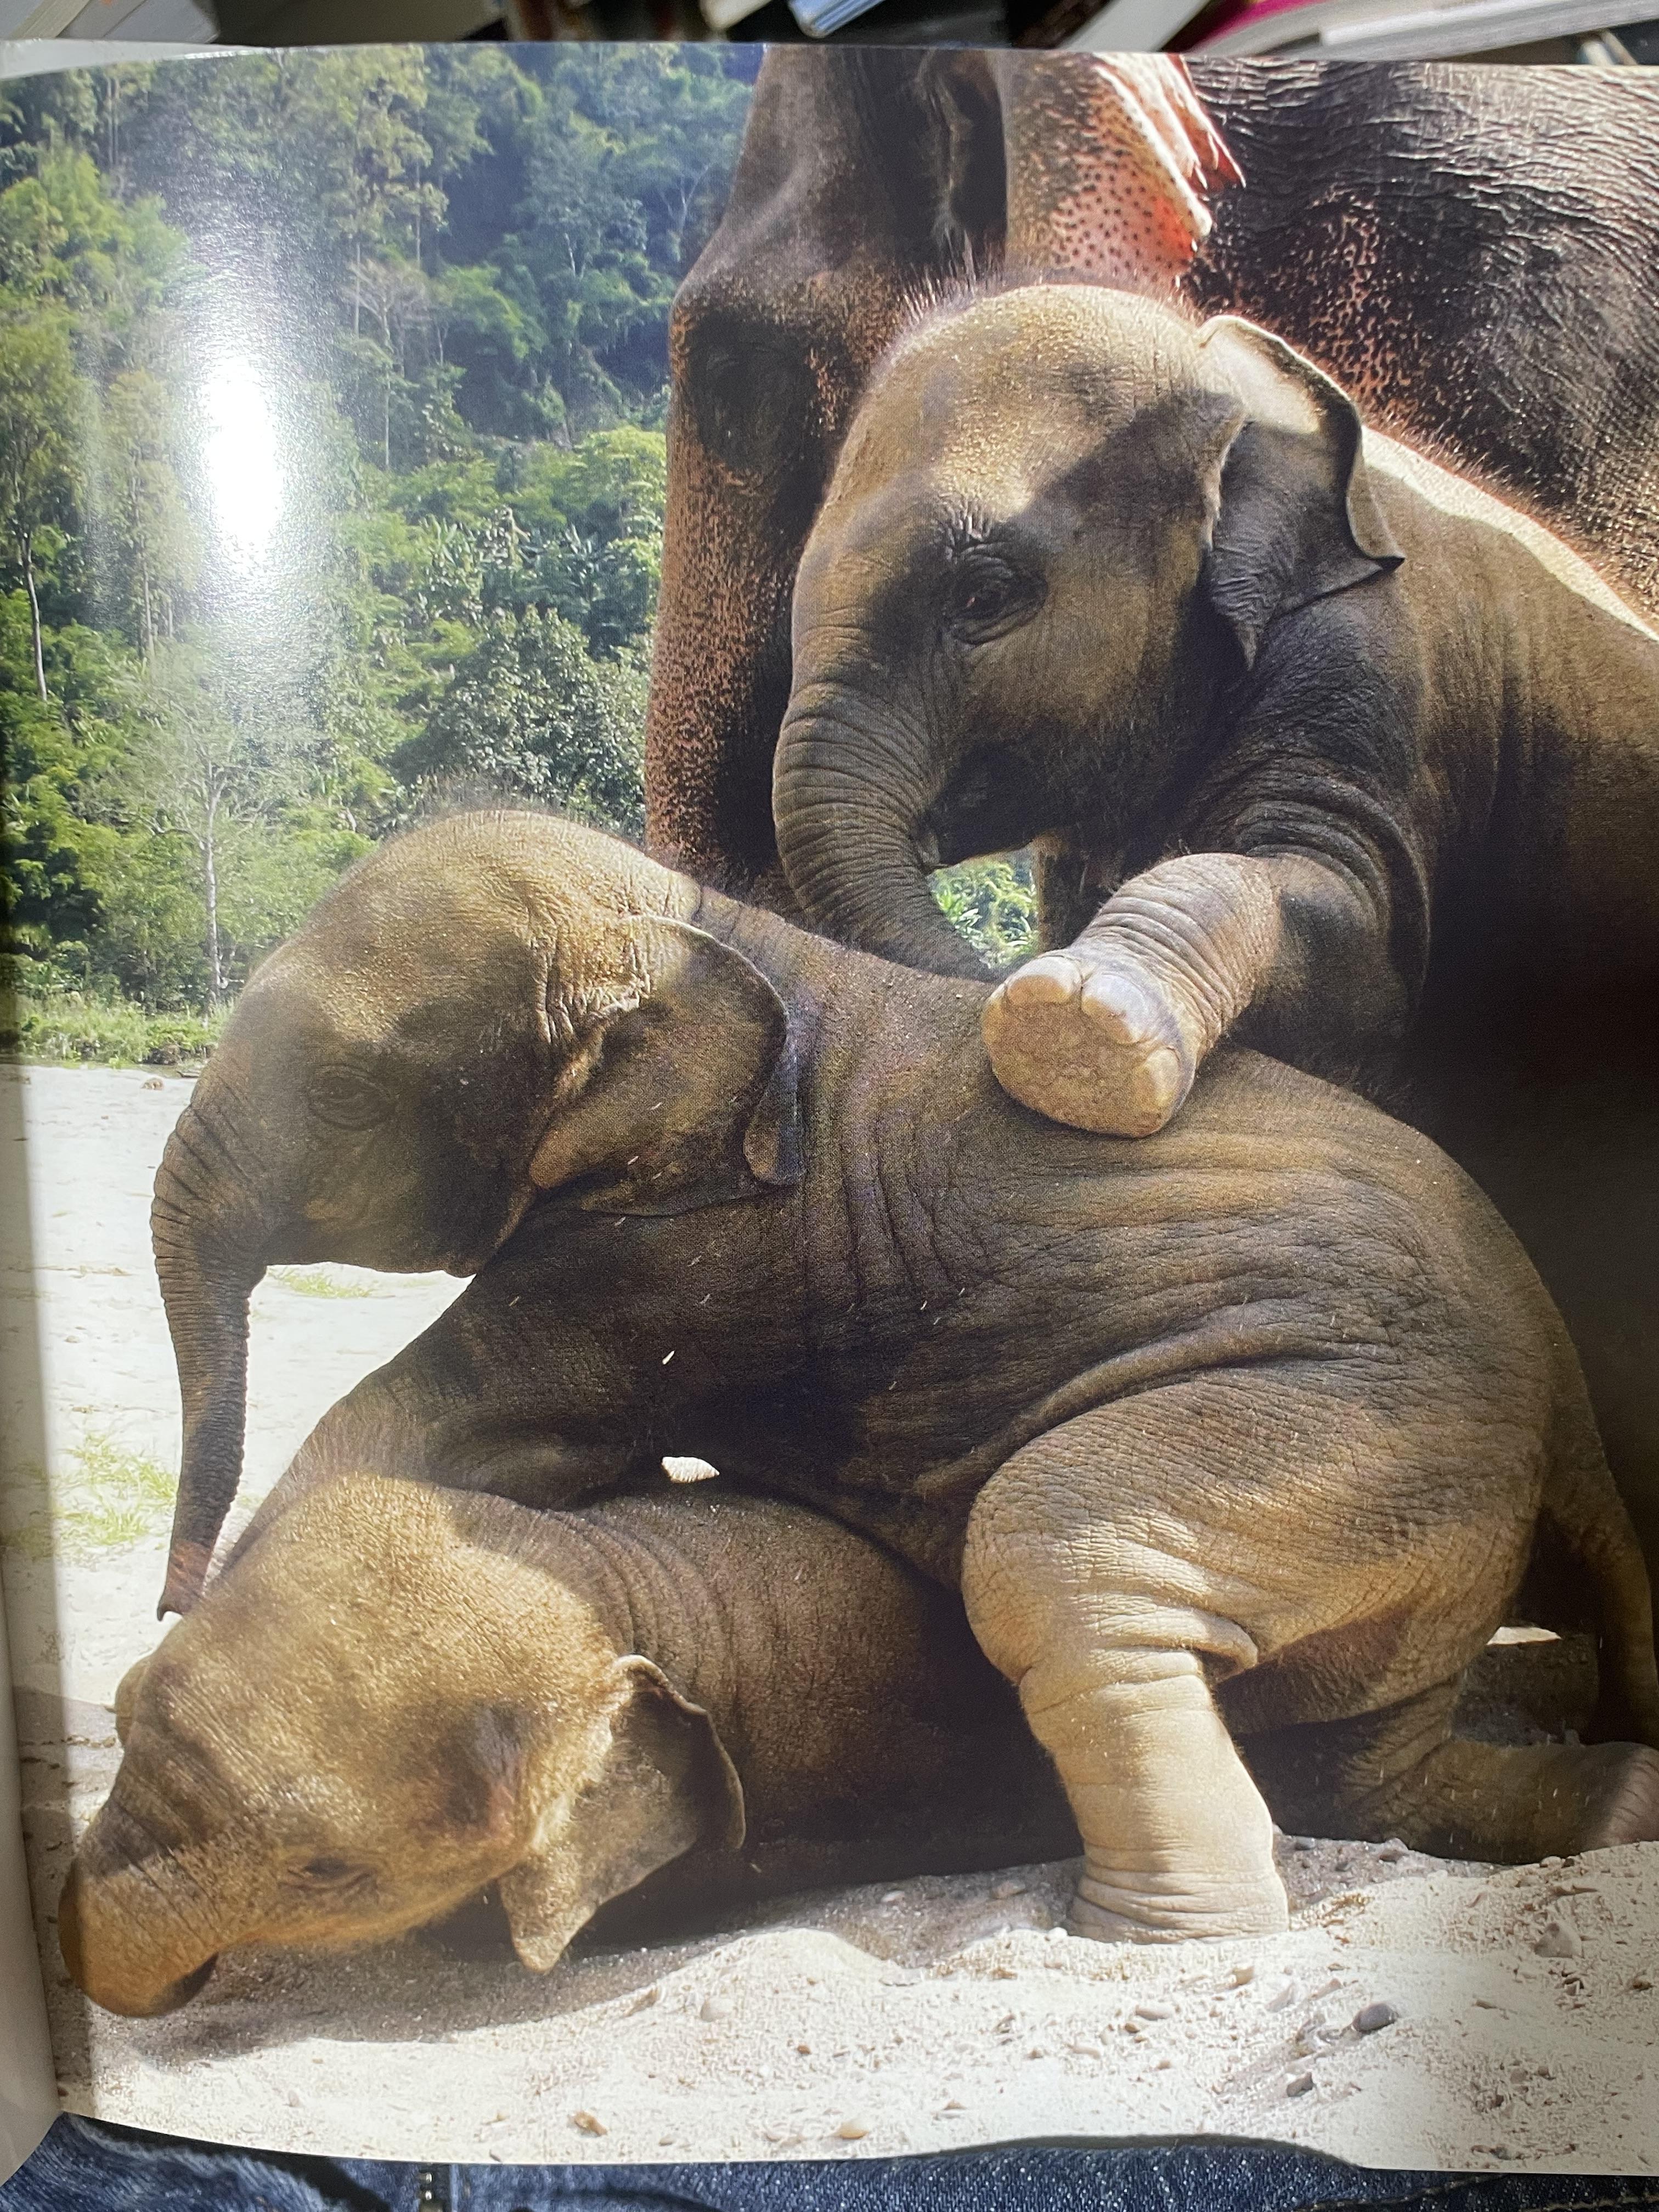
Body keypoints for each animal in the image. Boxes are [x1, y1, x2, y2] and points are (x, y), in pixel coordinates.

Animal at [146, 810, 1659, 1945]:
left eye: (340, 1103)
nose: (163, 1603)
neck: (698, 923)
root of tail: (1556, 1379)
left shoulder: (671, 1254)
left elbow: (420, 1430)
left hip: (1372, 1431)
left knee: (1054, 1547)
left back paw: (1159, 1931)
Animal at [773, 280, 1659, 1578]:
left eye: (985, 595)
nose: (997, 980)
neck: (1228, 379)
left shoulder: (1372, 678)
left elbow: (1352, 957)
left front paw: (1077, 1026)